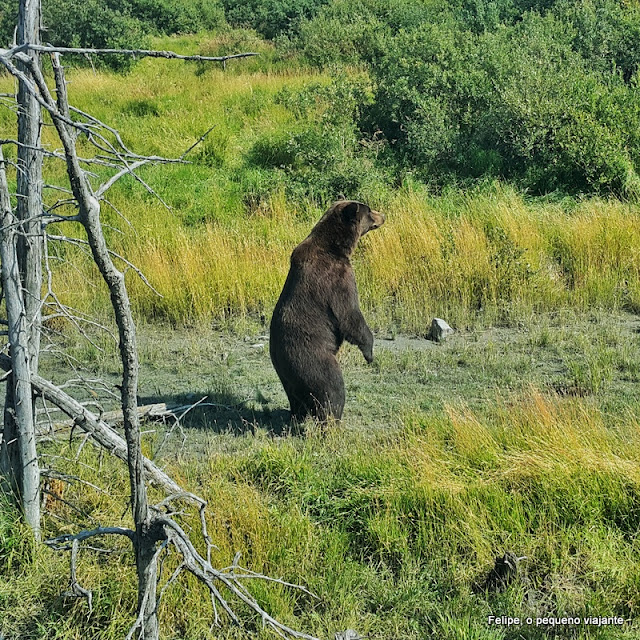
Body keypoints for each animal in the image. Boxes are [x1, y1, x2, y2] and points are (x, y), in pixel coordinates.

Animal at [270, 199, 384, 420]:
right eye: (369, 210)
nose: (382, 216)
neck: (336, 247)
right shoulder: (336, 277)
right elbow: (349, 315)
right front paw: (369, 353)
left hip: (287, 377)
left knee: (296, 398)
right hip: (313, 360)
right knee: (332, 389)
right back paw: (332, 420)